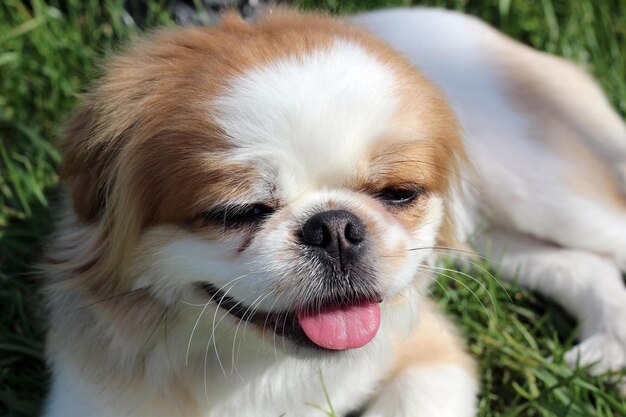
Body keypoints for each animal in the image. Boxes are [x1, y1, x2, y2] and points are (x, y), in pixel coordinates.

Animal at [42, 5, 624, 416]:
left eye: (398, 193)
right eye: (238, 211)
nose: (335, 227)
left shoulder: (433, 357)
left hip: (545, 191)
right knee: (579, 264)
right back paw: (606, 350)